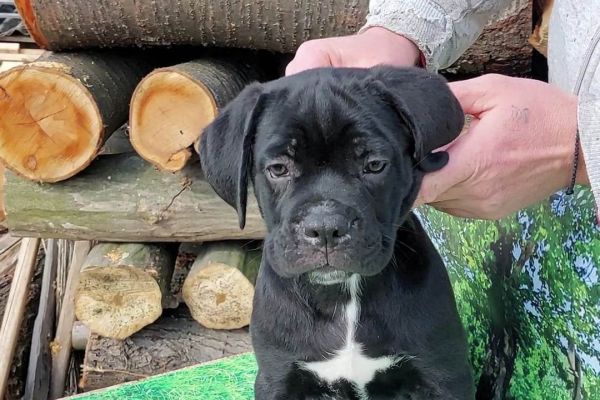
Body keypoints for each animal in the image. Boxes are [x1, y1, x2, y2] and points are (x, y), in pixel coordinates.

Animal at [197, 66, 474, 400]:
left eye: (374, 165)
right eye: (278, 169)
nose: (325, 227)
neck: (343, 297)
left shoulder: (443, 374)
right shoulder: (278, 377)